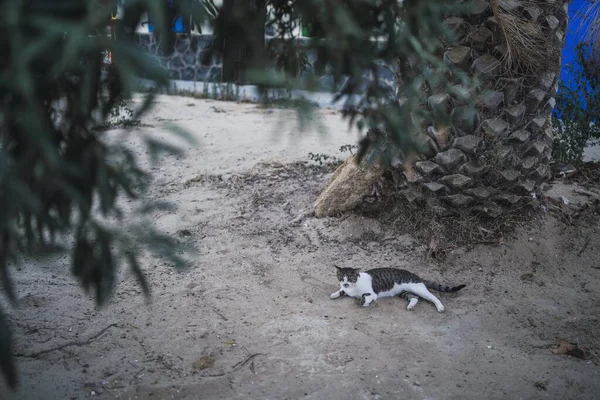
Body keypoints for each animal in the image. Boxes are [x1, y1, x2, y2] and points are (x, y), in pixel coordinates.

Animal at [330, 266, 466, 312]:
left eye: (350, 278)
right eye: (341, 278)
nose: (345, 284)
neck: (353, 288)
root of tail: (416, 276)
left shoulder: (372, 294)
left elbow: (365, 297)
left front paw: (364, 302)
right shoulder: (345, 290)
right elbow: (341, 291)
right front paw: (335, 294)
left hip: (418, 288)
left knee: (432, 297)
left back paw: (440, 307)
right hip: (403, 292)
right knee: (414, 298)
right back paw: (410, 306)